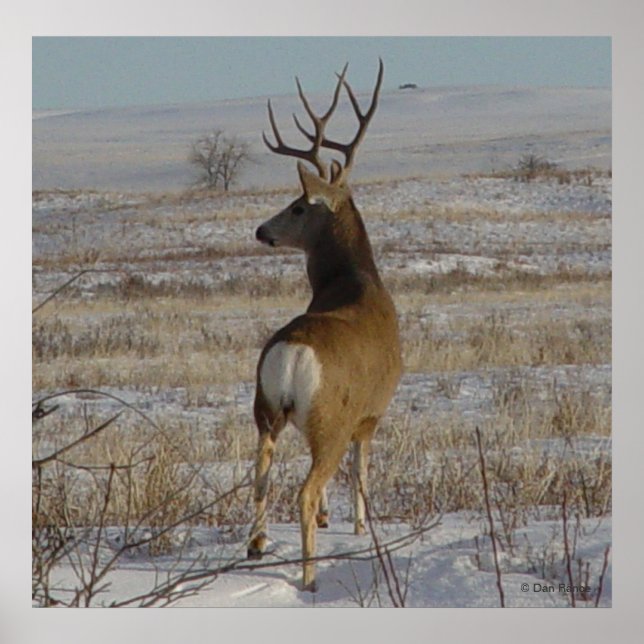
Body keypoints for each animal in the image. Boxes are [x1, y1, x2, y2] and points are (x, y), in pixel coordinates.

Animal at [247, 59, 402, 592]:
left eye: (297, 206)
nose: (261, 230)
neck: (355, 282)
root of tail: (292, 354)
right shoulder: (370, 414)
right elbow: (361, 469)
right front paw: (357, 524)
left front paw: (332, 519)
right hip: (328, 418)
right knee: (305, 487)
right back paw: (309, 575)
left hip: (265, 407)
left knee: (261, 473)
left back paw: (257, 545)